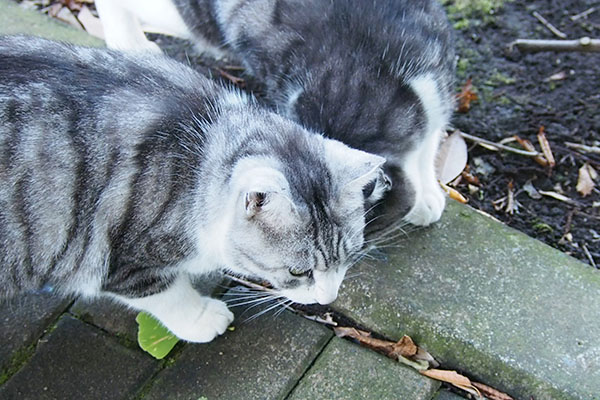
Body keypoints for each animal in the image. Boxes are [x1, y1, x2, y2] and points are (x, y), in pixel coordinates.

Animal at [0, 36, 390, 340]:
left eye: (348, 259)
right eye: (298, 272)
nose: (327, 299)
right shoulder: (121, 261)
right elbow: (166, 293)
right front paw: (203, 318)